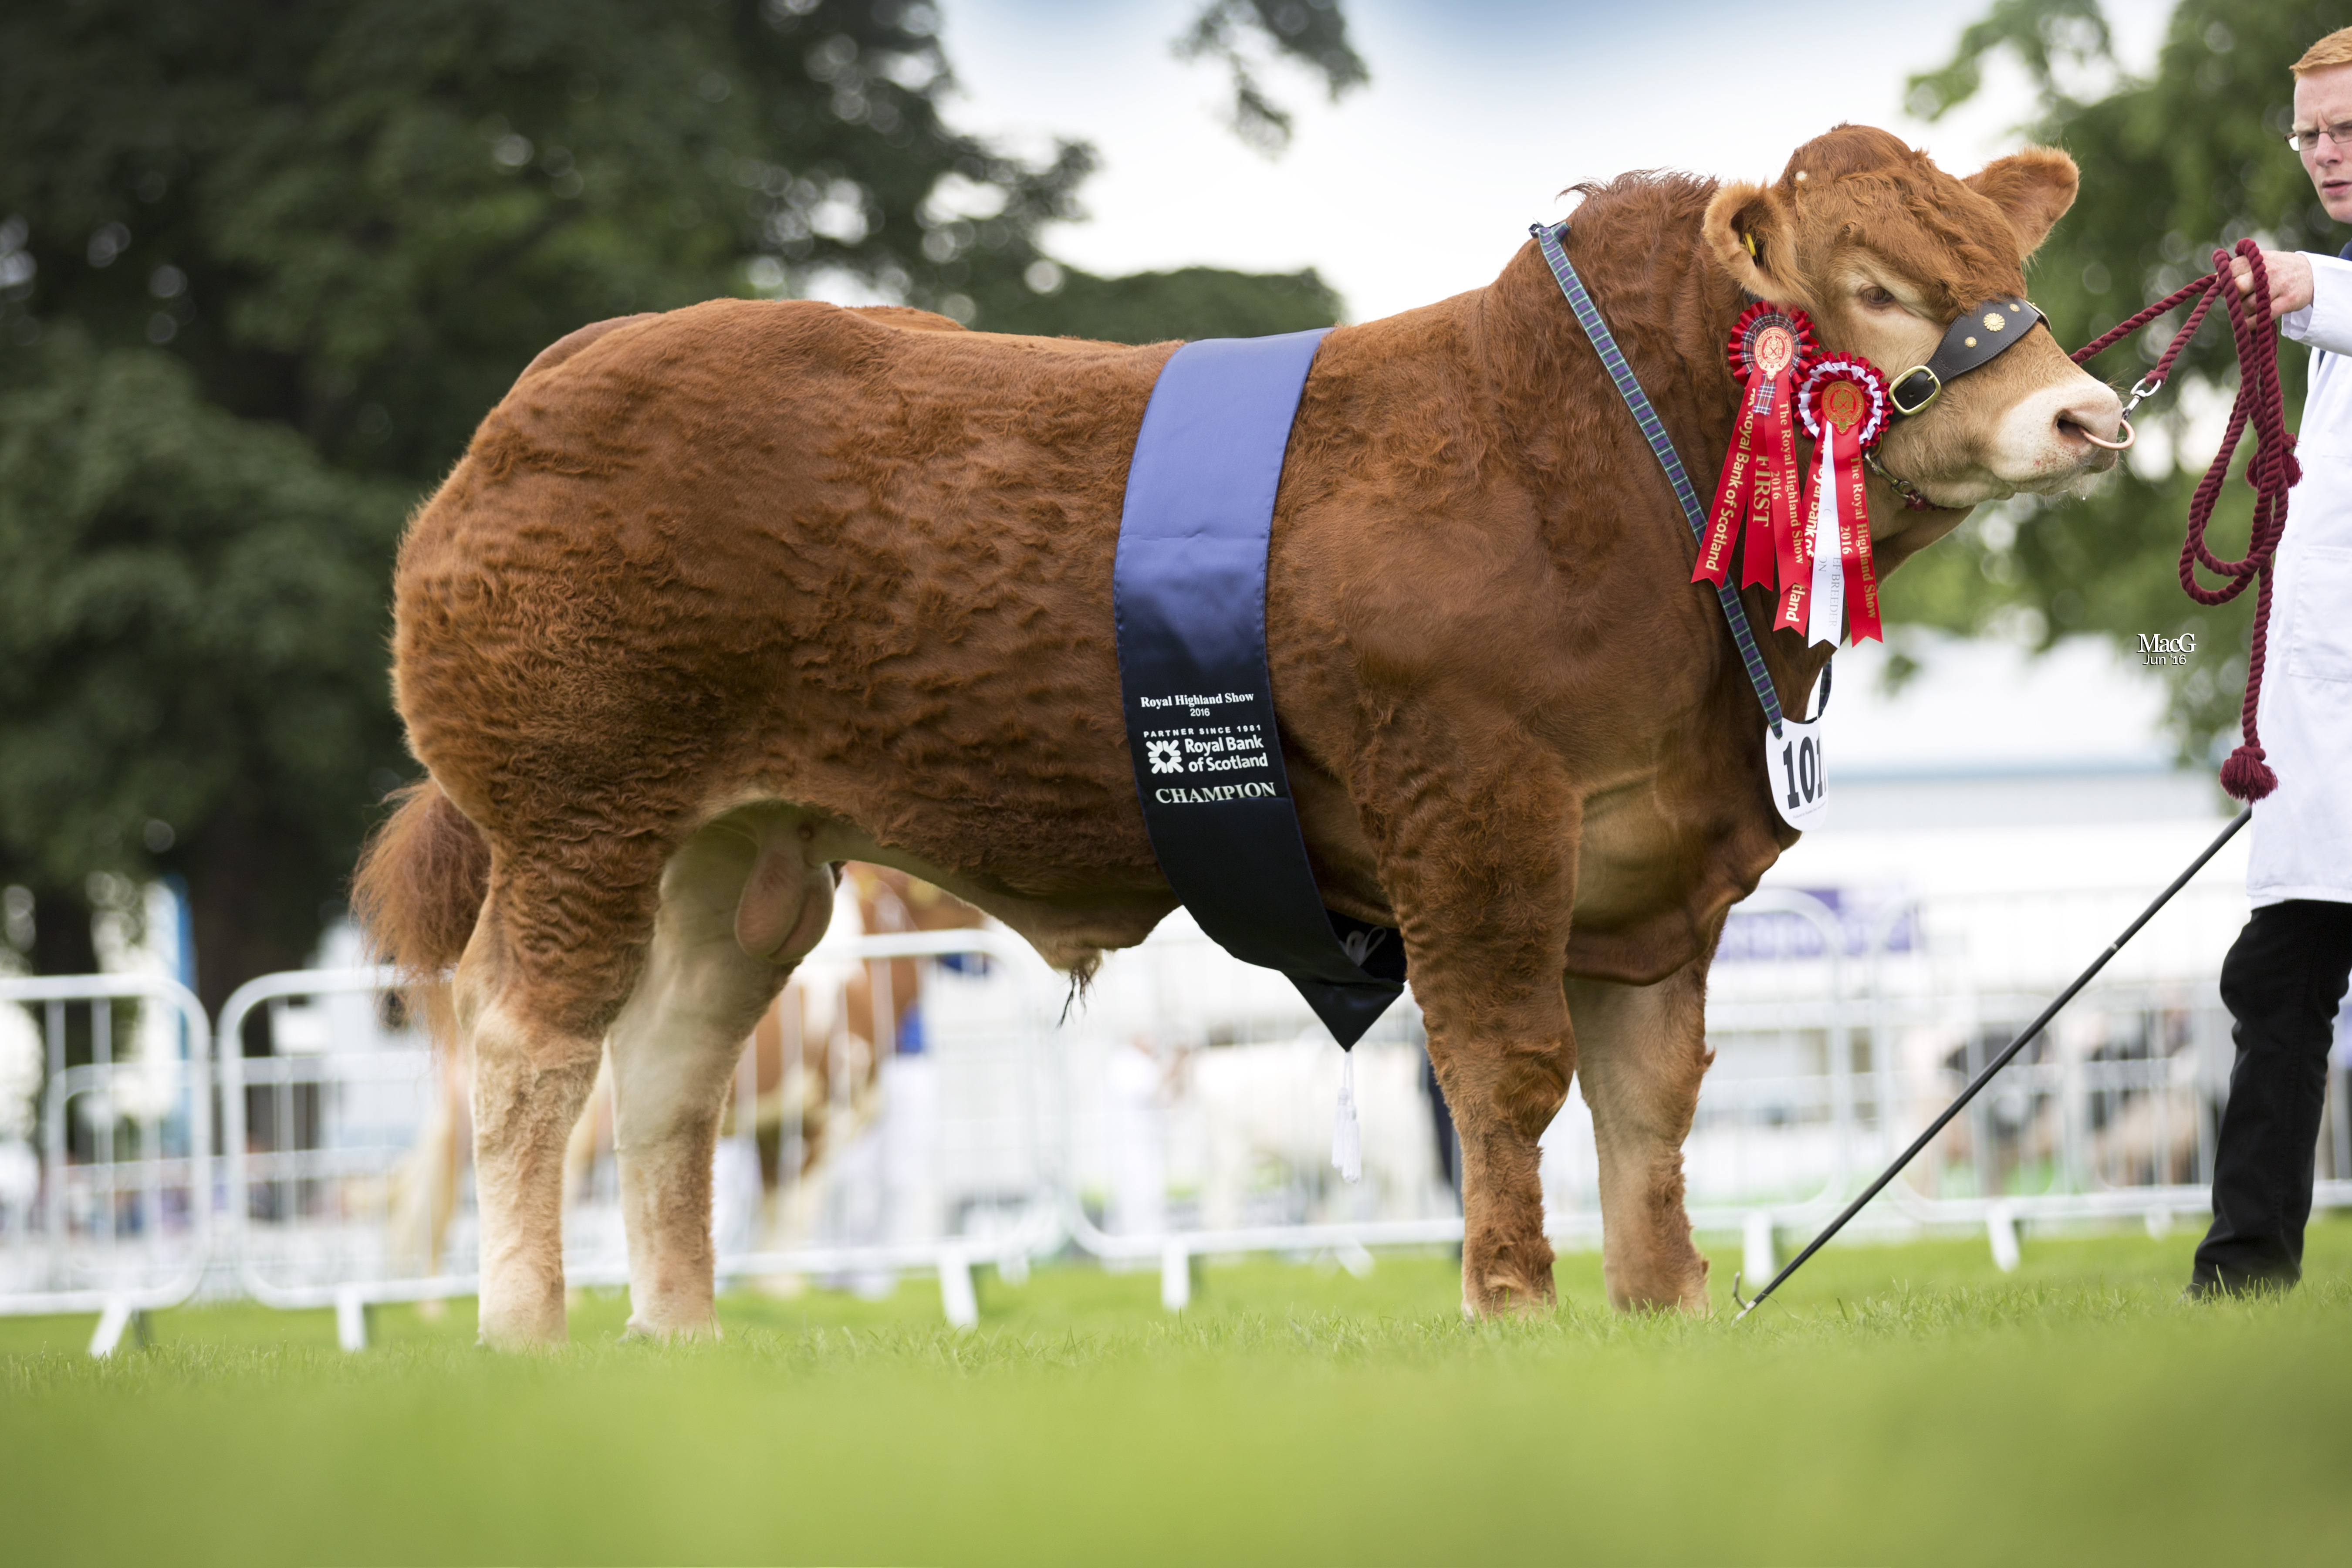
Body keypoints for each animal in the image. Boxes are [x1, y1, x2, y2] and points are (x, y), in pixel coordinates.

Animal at [357, 128, 2126, 1345]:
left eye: (2001, 267)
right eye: (1871, 288)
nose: (2086, 415)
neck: (1610, 471)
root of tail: (557, 380)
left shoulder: (1653, 866)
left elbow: (1651, 1106)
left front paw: (1664, 1309)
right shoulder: (1476, 809)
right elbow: (1507, 1072)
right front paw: (1512, 1305)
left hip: (741, 859)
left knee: (665, 1076)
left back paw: (678, 1338)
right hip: (575, 819)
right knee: (529, 1056)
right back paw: (523, 1329)